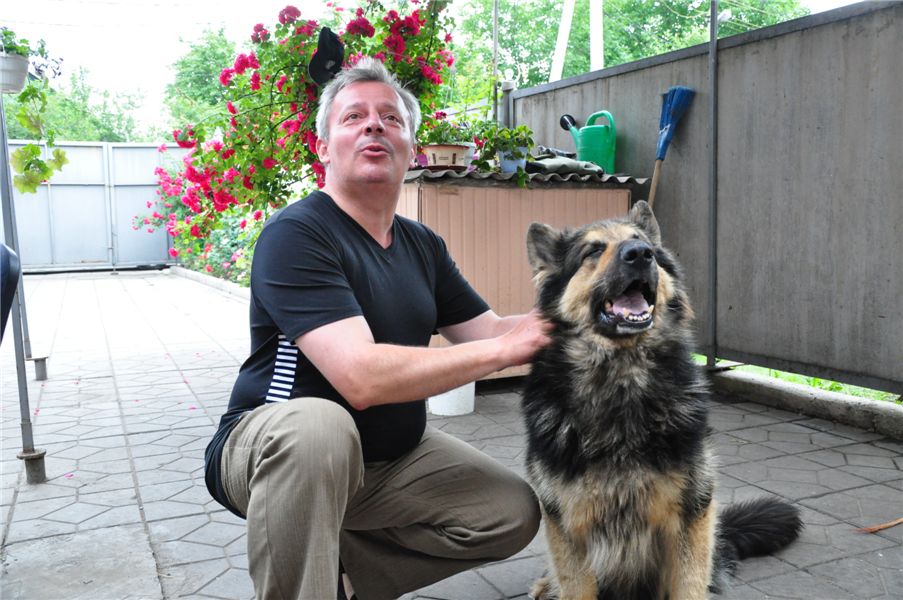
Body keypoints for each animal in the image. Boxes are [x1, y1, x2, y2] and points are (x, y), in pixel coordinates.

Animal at [522, 201, 801, 600]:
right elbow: (576, 585)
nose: (641, 254)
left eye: (642, 242)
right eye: (592, 250)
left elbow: (689, 584)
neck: (622, 380)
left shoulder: (692, 513)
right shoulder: (567, 523)